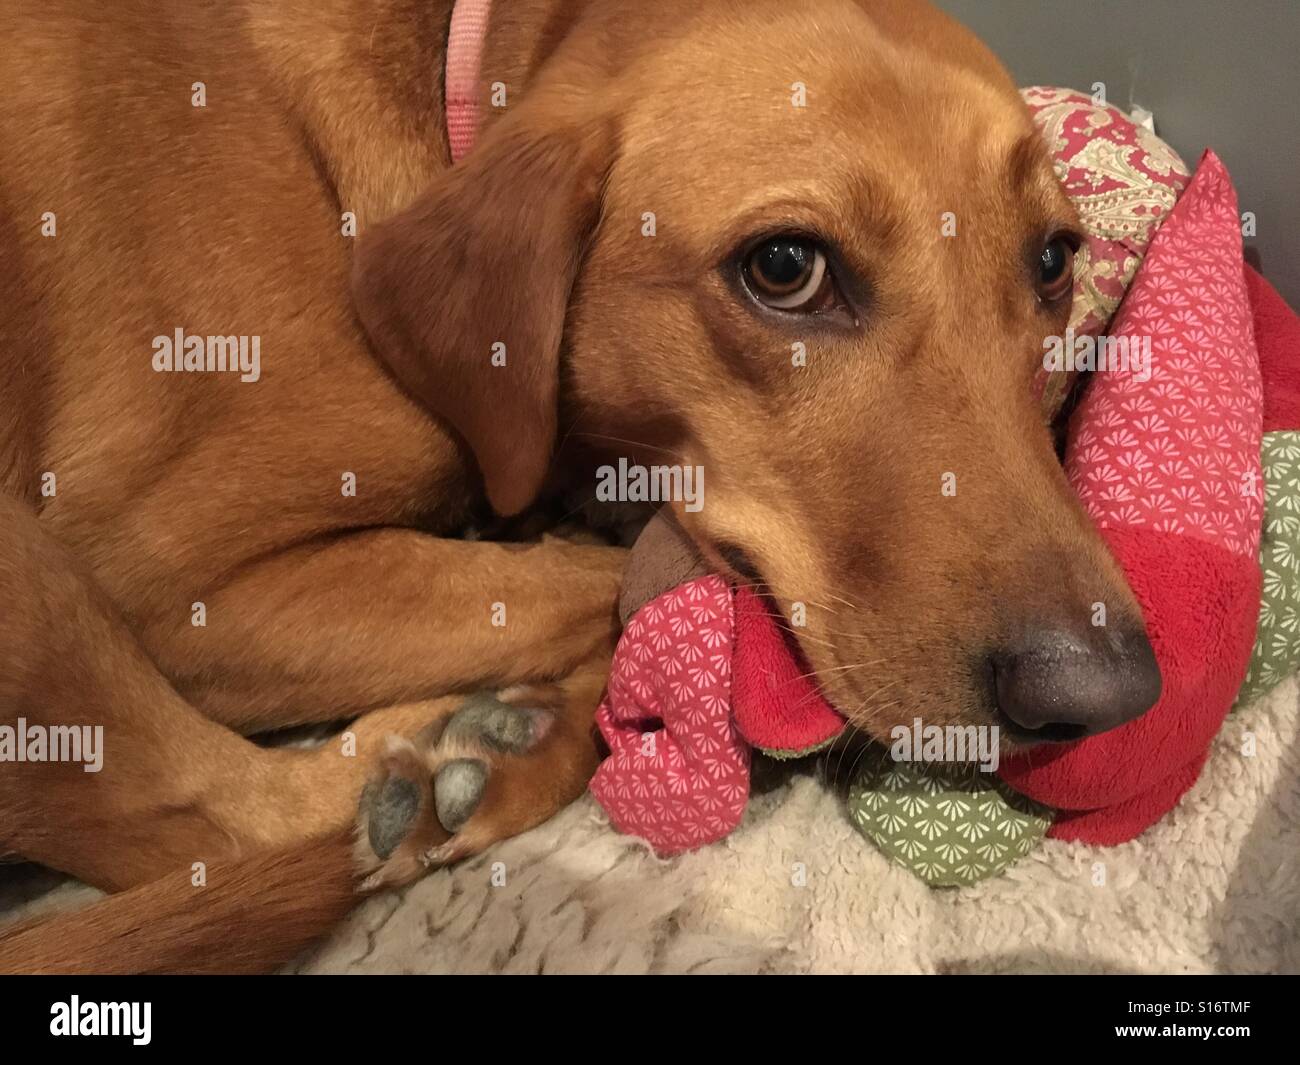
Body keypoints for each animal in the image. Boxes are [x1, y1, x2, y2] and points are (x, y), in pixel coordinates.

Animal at [0, 0, 1159, 972]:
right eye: (786, 268)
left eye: (1053, 260)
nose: (1105, 696)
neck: (447, 80)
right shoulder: (179, 583)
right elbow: (585, 581)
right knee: (217, 817)